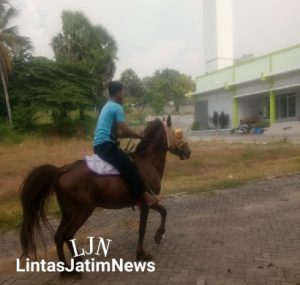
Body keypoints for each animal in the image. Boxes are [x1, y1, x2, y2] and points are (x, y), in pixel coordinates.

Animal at [19, 116, 191, 272]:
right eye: (178, 134)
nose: (188, 151)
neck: (146, 162)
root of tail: (62, 170)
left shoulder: (147, 202)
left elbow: (162, 212)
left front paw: (156, 238)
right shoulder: (146, 203)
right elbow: (146, 225)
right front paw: (145, 249)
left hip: (68, 212)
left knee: (59, 236)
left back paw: (66, 268)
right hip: (82, 211)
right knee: (67, 234)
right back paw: (74, 267)